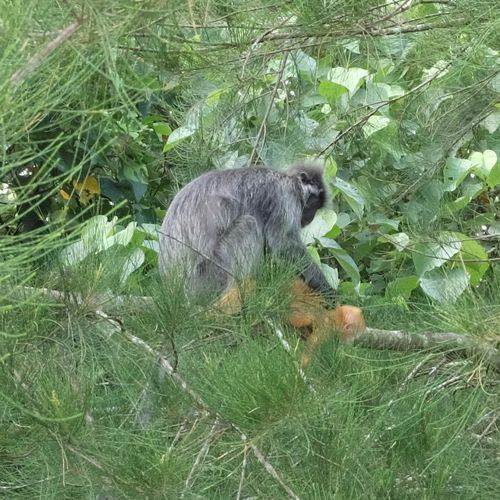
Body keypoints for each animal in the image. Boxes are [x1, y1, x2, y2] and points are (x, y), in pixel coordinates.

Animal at [158, 166, 334, 300]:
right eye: (313, 206)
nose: (310, 218)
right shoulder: (286, 198)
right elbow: (283, 243)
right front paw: (329, 291)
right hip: (209, 276)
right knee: (248, 225)